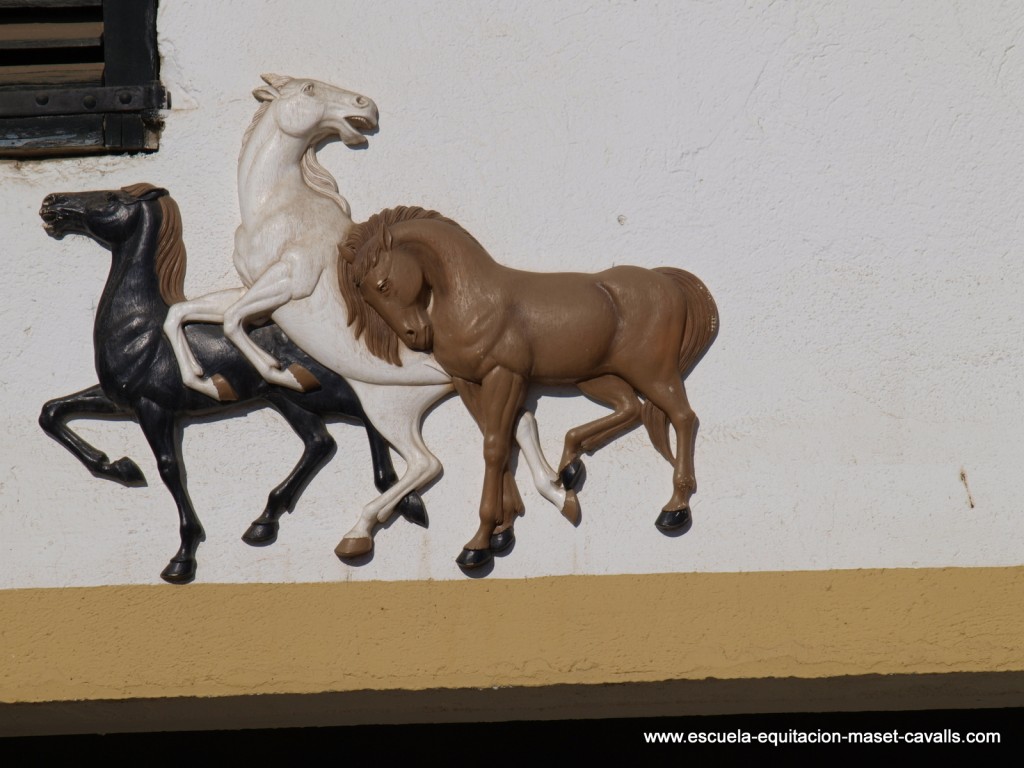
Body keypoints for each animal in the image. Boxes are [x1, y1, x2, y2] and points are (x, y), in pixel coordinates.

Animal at [160, 75, 569, 557]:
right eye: (310, 88)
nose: (365, 105)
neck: (277, 208)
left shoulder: (288, 282)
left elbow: (232, 321)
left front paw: (286, 374)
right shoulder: (251, 288)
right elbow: (182, 313)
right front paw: (205, 381)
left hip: (388, 409)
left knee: (427, 463)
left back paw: (358, 533)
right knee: (517, 427)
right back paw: (553, 494)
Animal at [348, 207, 716, 569]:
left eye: (382, 285)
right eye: (365, 295)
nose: (416, 336)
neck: (473, 301)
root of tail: (665, 281)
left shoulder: (505, 375)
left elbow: (495, 447)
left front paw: (478, 544)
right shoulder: (468, 382)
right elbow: (500, 437)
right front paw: (504, 530)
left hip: (652, 373)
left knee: (682, 417)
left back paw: (675, 509)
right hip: (597, 378)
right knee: (631, 408)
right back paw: (569, 466)